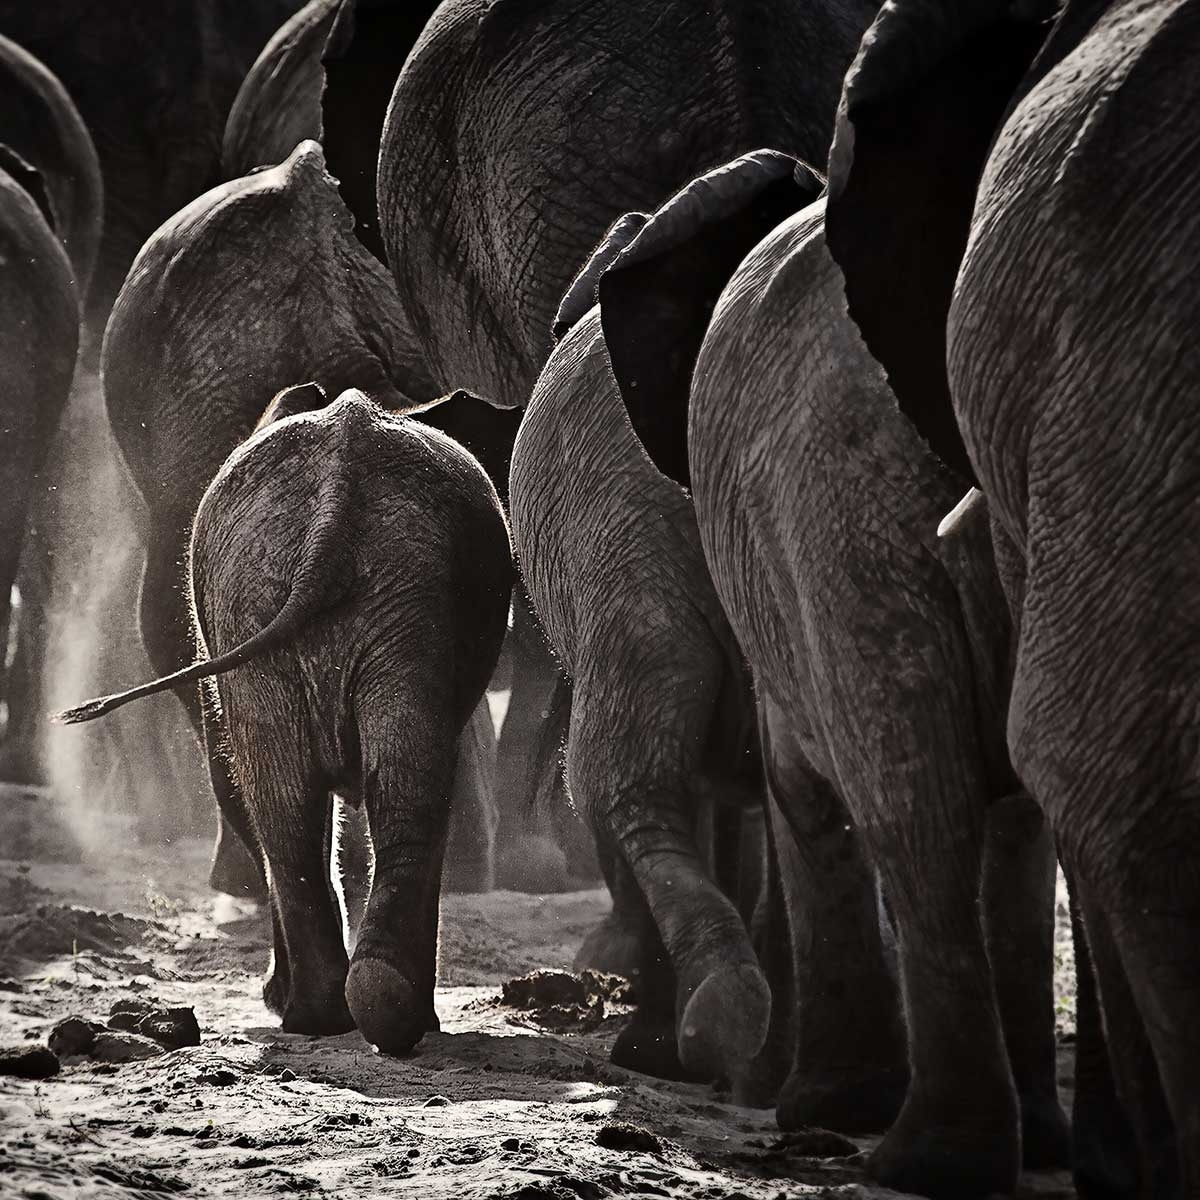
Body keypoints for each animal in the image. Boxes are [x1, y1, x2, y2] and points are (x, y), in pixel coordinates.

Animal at [58, 386, 513, 1051]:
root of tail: (336, 498)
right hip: (314, 595)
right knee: (348, 788)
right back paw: (350, 1015)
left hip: (343, 596)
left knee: (309, 795)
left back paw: (340, 1013)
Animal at [585, 154, 1065, 1195]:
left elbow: (800, 790)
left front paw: (810, 1107)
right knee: (989, 804)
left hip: (840, 519)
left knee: (913, 803)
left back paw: (916, 1155)